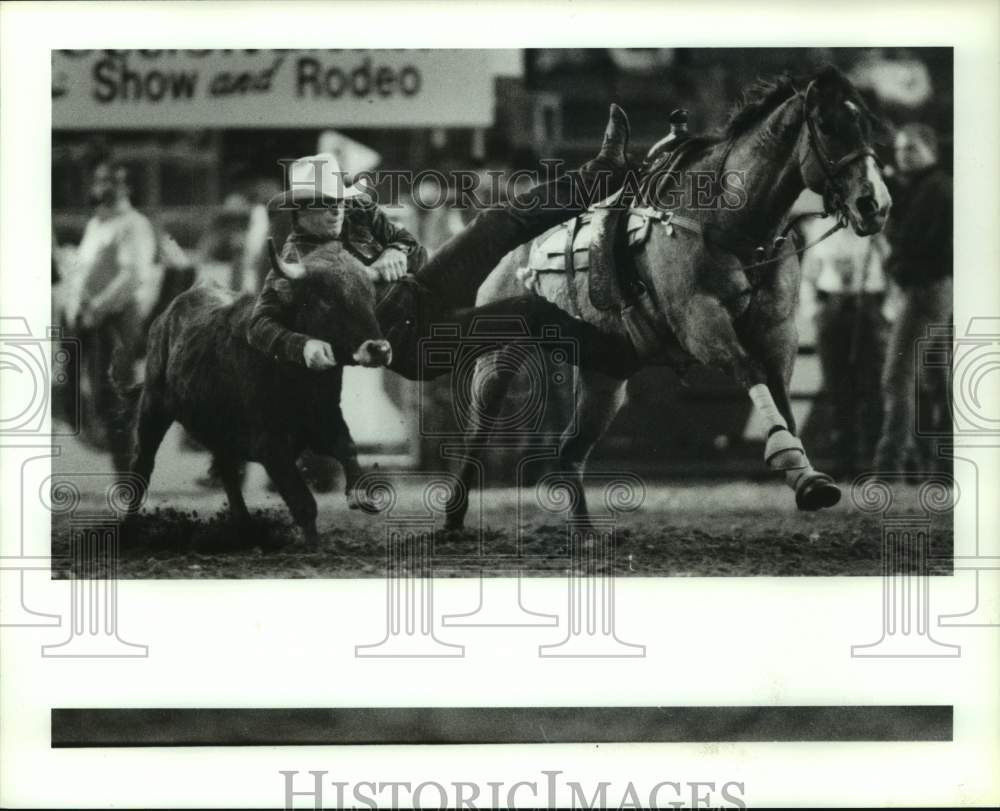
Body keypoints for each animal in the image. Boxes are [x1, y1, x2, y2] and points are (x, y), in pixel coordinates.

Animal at [446, 66, 892, 528]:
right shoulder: (700, 322)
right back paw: (454, 518)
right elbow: (748, 370)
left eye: (869, 125)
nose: (875, 204)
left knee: (570, 450)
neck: (726, 222)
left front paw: (807, 477)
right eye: (827, 125)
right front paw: (789, 460)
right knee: (478, 430)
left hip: (605, 373)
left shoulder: (778, 330)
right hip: (499, 354)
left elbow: (781, 395)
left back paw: (584, 533)